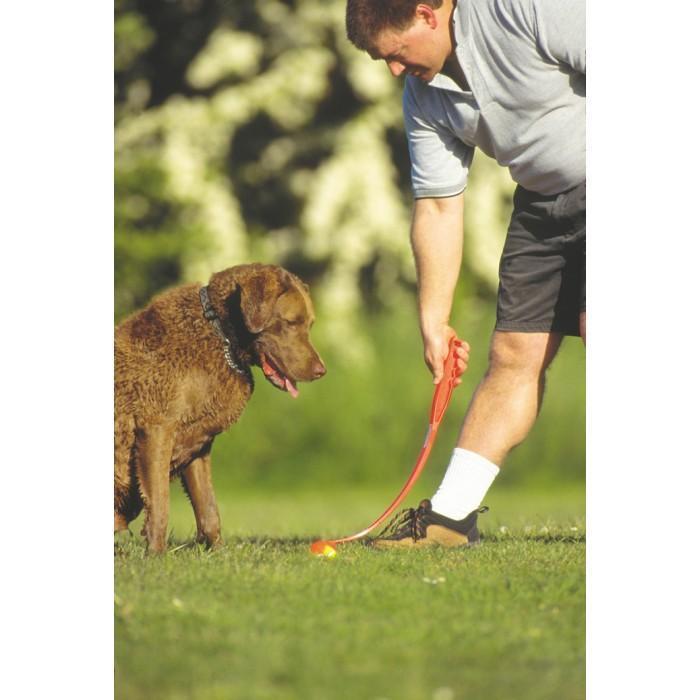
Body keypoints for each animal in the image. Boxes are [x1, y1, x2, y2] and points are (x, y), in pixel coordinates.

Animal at [114, 262, 326, 552]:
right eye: (291, 322)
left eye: (310, 324)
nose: (321, 371)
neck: (221, 337)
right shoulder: (156, 428)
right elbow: (160, 503)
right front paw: (156, 555)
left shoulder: (197, 444)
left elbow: (208, 508)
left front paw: (218, 553)